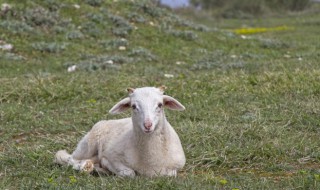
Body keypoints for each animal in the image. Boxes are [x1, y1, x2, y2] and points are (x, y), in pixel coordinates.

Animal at [54, 85, 185, 177]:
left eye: (160, 105)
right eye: (133, 106)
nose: (147, 125)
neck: (150, 161)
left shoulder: (177, 166)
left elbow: (170, 174)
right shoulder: (112, 156)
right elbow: (129, 173)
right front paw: (111, 169)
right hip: (87, 145)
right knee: (68, 158)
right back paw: (85, 167)